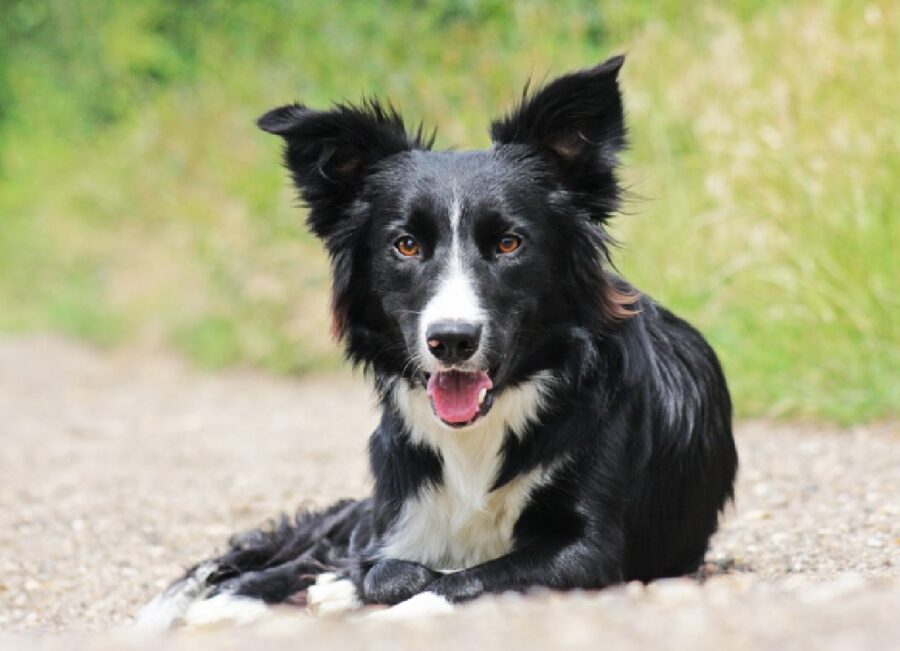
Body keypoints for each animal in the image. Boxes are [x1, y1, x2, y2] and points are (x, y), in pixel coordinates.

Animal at [135, 57, 740, 632]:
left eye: (509, 243)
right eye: (406, 245)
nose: (451, 340)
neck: (481, 431)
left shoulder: (591, 549)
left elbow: (464, 577)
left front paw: (391, 604)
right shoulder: (399, 513)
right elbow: (380, 565)